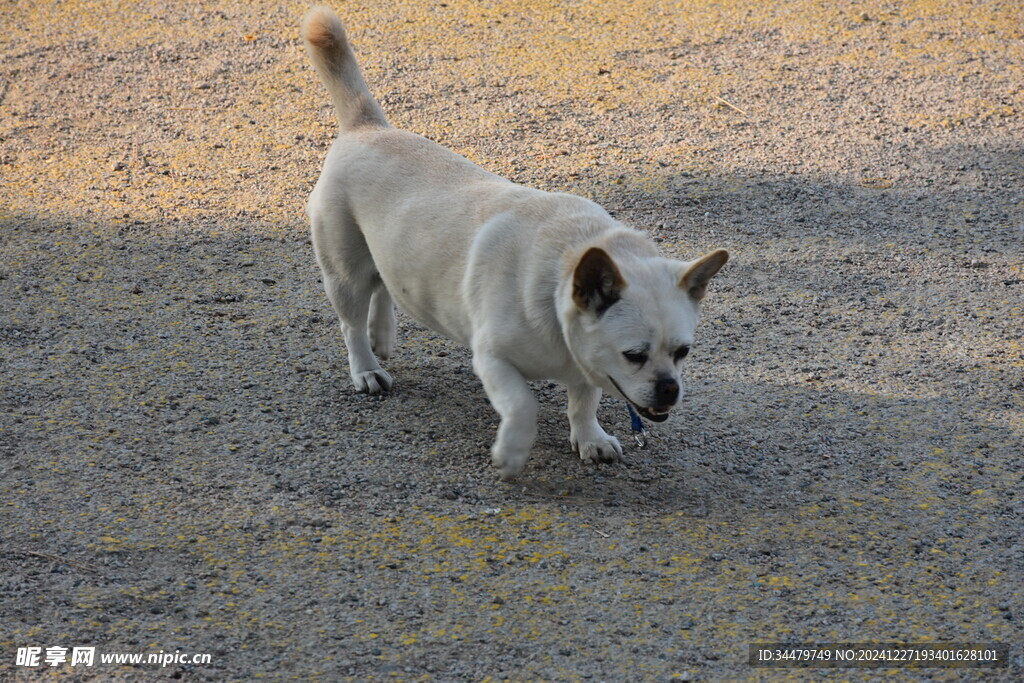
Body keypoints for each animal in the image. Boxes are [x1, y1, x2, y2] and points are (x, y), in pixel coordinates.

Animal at [299, 7, 729, 483]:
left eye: (683, 352)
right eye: (634, 355)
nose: (670, 389)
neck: (559, 277)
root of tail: (367, 127)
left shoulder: (586, 363)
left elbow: (584, 402)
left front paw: (590, 438)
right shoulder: (493, 360)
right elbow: (523, 406)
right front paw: (511, 454)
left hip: (386, 256)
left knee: (383, 287)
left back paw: (382, 336)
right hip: (344, 273)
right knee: (351, 323)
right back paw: (367, 369)